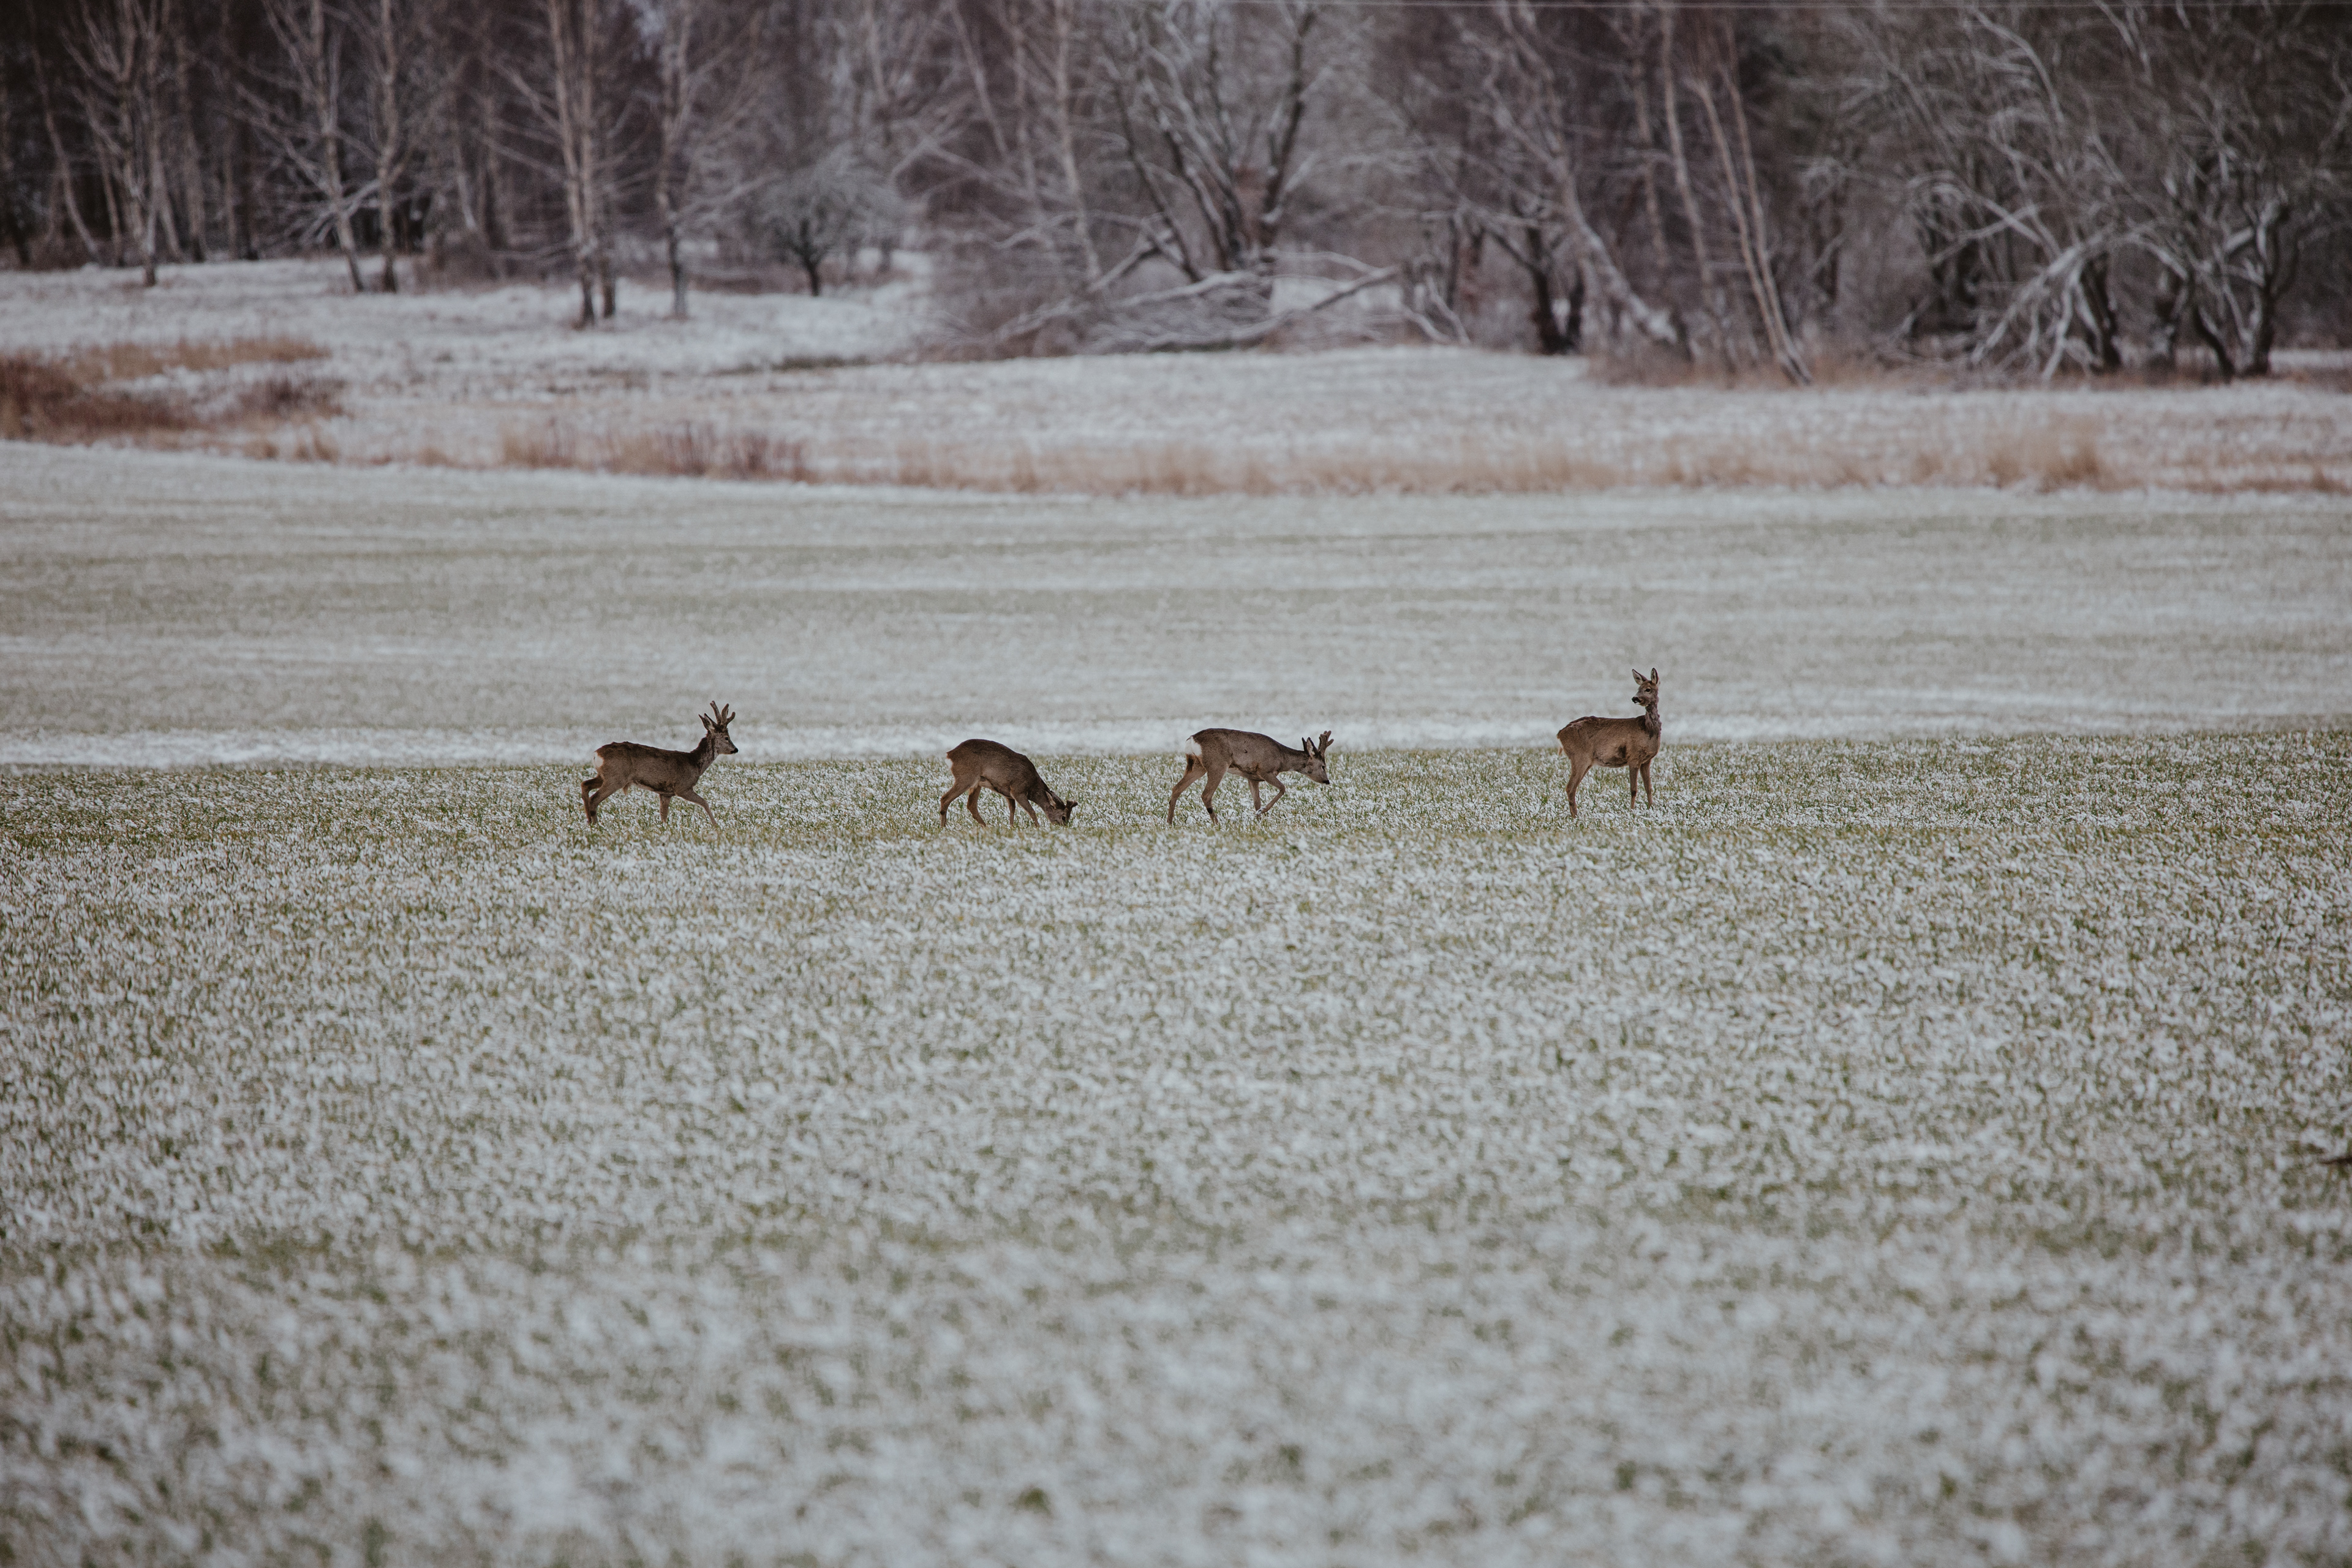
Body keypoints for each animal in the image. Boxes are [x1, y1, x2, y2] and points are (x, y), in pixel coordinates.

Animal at [581, 701, 737, 831]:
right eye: (727, 738)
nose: (735, 749)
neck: (695, 763)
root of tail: (596, 754)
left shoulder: (665, 793)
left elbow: (664, 815)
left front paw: (665, 828)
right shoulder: (683, 787)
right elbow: (705, 802)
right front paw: (716, 825)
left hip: (604, 776)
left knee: (585, 785)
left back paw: (589, 821)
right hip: (616, 777)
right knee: (594, 798)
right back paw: (596, 825)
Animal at [939, 739, 1077, 827]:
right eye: (1064, 817)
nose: (1064, 827)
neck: (1033, 786)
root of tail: (950, 755)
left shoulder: (1008, 793)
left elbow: (1012, 809)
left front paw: (1012, 827)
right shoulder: (1018, 790)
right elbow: (1031, 811)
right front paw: (1038, 827)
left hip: (976, 784)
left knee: (971, 805)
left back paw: (986, 826)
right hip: (966, 778)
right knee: (945, 798)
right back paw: (944, 827)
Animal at [1167, 729, 1332, 823]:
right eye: (1323, 766)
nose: (1327, 781)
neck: (1282, 759)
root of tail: (1192, 740)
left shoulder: (1252, 777)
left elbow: (1256, 801)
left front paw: (1259, 821)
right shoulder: (1265, 770)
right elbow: (1283, 788)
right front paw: (1262, 813)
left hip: (1197, 766)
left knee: (1177, 788)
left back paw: (1170, 822)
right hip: (1217, 765)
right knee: (1206, 795)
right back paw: (1217, 823)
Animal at [1557, 669, 1661, 818]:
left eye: (1648, 689)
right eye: (1638, 688)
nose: (1635, 698)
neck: (1648, 730)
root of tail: (1560, 734)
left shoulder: (1646, 760)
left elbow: (1649, 788)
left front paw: (1651, 808)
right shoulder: (1633, 756)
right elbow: (1633, 789)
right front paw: (1632, 811)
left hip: (1586, 761)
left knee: (1571, 787)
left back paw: (1575, 815)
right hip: (1580, 757)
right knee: (1570, 787)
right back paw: (1576, 816)